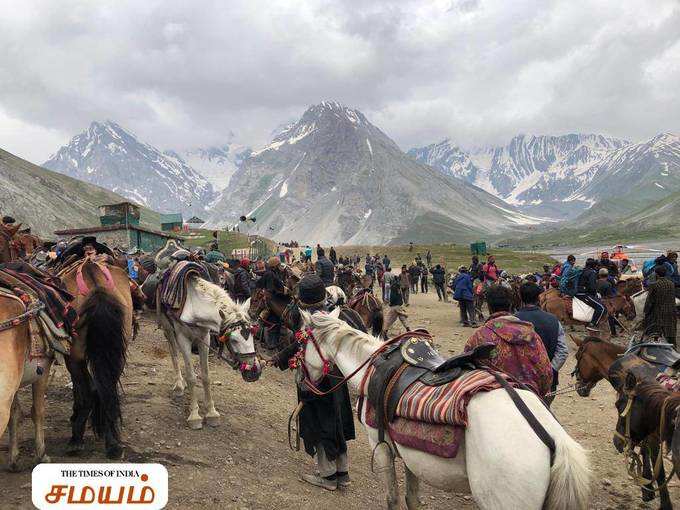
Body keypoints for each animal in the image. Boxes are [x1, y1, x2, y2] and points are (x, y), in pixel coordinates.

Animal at [0, 292, 53, 472]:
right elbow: (38, 411)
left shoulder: (14, 385)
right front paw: (41, 454)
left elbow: (15, 414)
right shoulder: (42, 371)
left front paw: (13, 458)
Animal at [59, 258, 133, 458]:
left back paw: (76, 439)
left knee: (88, 393)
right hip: (116, 351)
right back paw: (112, 443)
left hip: (75, 356)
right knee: (107, 389)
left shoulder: (74, 357)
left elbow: (81, 390)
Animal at [158, 276, 262, 428]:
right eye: (234, 339)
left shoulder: (204, 338)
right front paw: (194, 415)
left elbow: (206, 376)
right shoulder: (183, 338)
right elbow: (191, 377)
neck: (193, 305)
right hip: (168, 328)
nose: (254, 371)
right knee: (174, 353)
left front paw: (211, 412)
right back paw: (179, 385)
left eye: (253, 334)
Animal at [298, 308, 588, 508]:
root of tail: (553, 438)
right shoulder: (409, 453)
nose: (302, 383)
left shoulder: (381, 448)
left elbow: (393, 499)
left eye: (300, 345)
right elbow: (411, 498)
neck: (371, 368)